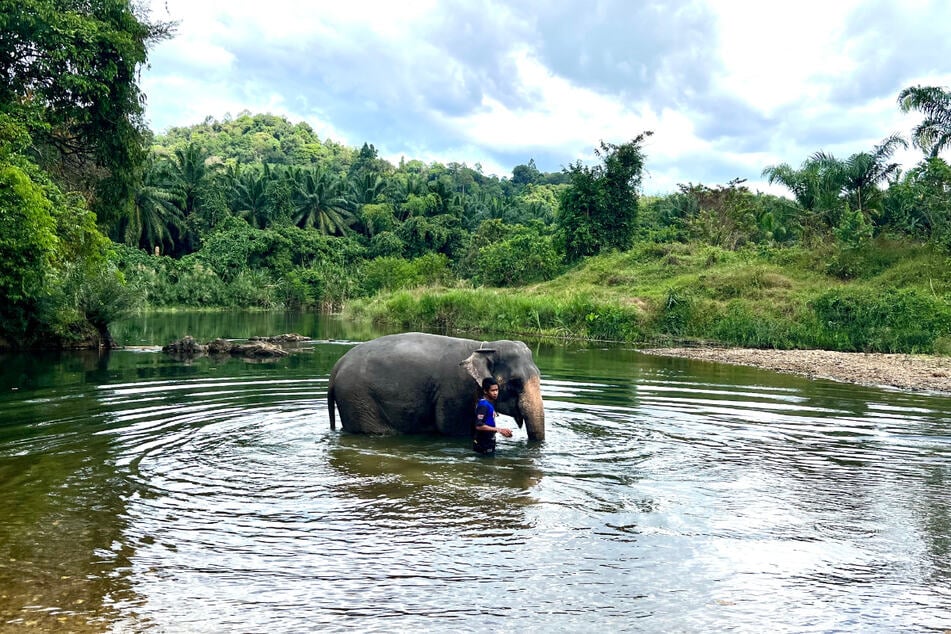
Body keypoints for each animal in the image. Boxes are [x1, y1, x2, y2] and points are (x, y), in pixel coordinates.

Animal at [330, 330, 548, 440]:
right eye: (516, 382)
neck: (484, 347)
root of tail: (336, 367)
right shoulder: (455, 392)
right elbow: (453, 429)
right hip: (358, 399)